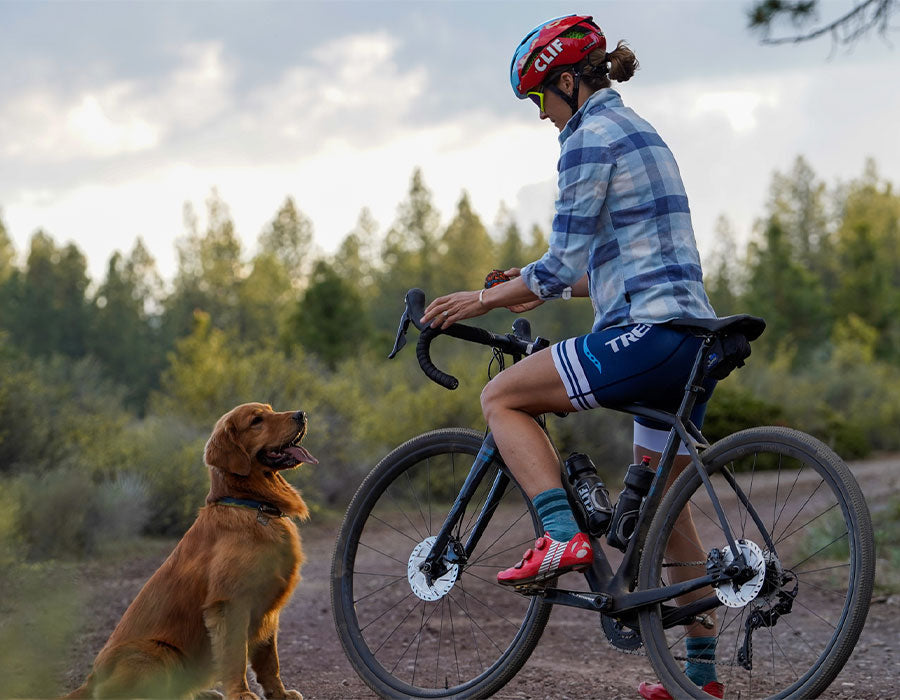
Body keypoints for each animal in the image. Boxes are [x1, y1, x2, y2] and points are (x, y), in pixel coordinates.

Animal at [65, 404, 316, 700]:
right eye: (257, 420)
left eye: (271, 409)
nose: (301, 414)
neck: (252, 506)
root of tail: (90, 680)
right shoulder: (231, 602)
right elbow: (235, 657)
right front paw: (241, 694)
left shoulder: (268, 606)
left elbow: (269, 660)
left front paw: (279, 693)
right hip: (160, 653)